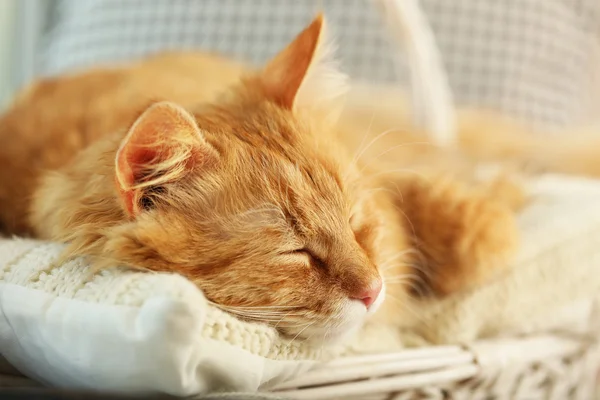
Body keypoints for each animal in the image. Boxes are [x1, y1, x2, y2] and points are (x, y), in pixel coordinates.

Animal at [1, 14, 600, 342]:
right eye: (294, 253)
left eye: (356, 224)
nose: (374, 291)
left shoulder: (393, 172)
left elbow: (456, 211)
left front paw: (488, 219)